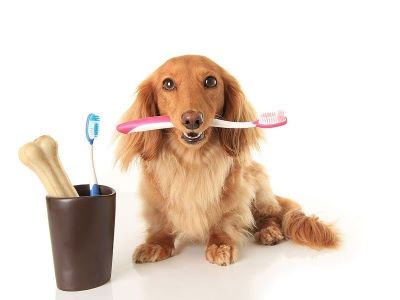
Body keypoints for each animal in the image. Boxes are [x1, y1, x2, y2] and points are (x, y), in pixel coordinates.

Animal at [114, 55, 340, 266]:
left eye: (210, 81)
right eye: (168, 84)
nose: (192, 120)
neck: (192, 160)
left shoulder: (233, 191)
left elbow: (222, 219)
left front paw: (220, 244)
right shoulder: (156, 196)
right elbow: (161, 222)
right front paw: (156, 244)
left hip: (257, 187)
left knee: (271, 215)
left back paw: (269, 231)